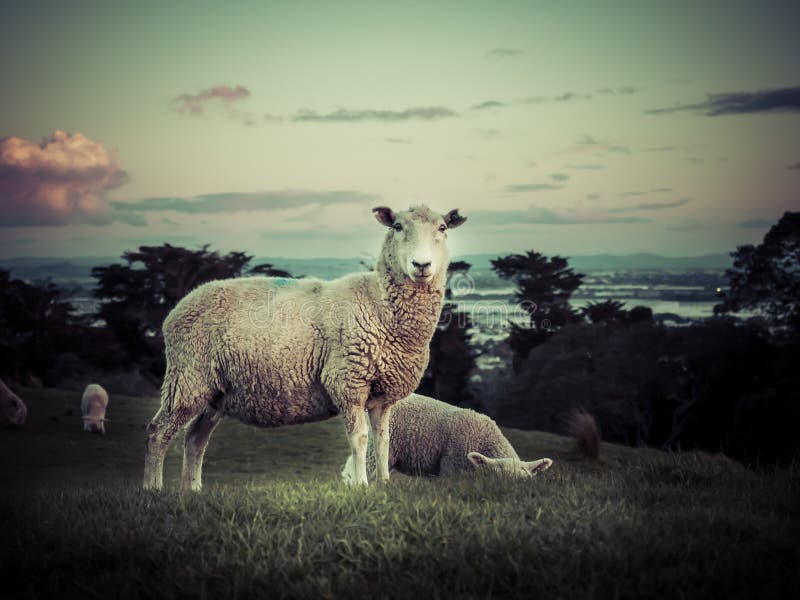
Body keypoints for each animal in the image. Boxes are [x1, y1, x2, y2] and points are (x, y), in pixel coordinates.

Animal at [145, 204, 468, 490]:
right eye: (397, 227)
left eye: (442, 228)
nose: (421, 265)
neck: (377, 301)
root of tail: (178, 308)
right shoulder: (346, 380)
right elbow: (361, 438)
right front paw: (362, 485)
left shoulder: (383, 394)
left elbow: (383, 440)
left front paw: (385, 484)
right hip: (188, 377)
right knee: (158, 432)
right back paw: (153, 488)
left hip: (216, 391)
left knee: (195, 438)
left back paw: (192, 490)